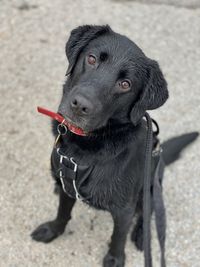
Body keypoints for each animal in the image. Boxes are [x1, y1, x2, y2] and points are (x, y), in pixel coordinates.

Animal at [31, 24, 198, 266]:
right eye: (91, 59)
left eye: (125, 84)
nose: (80, 105)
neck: (88, 144)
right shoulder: (67, 185)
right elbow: (62, 212)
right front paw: (53, 230)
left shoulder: (124, 209)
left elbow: (118, 236)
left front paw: (115, 258)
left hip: (151, 187)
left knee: (148, 213)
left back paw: (141, 235)